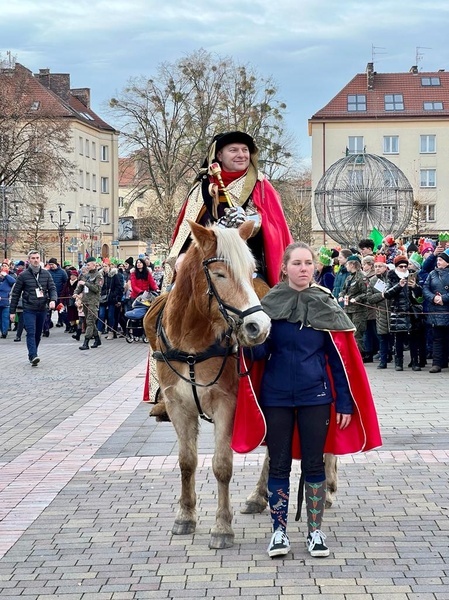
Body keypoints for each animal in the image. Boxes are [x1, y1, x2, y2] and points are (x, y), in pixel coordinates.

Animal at [144, 220, 270, 548]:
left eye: (251, 270)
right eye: (220, 273)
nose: (259, 327)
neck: (192, 341)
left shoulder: (228, 405)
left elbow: (222, 465)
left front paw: (222, 527)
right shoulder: (178, 406)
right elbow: (186, 461)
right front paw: (185, 517)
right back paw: (259, 497)